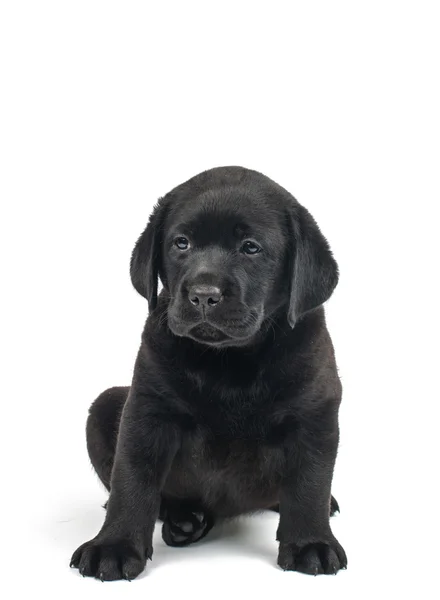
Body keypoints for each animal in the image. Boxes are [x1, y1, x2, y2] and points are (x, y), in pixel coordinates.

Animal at [70, 166, 348, 580]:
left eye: (251, 247)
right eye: (181, 243)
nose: (203, 294)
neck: (228, 359)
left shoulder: (314, 414)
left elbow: (309, 483)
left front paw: (310, 543)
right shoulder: (147, 411)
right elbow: (132, 479)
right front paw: (114, 545)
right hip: (106, 405)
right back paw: (186, 519)